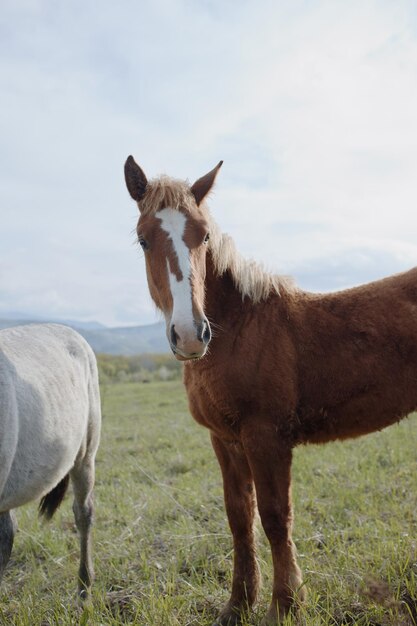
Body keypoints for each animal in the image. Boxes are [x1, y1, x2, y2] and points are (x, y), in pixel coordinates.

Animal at [124, 155, 416, 620]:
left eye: (204, 235)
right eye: (143, 240)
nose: (190, 335)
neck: (240, 328)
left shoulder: (266, 436)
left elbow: (276, 517)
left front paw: (285, 604)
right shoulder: (224, 439)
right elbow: (239, 516)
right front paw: (238, 604)